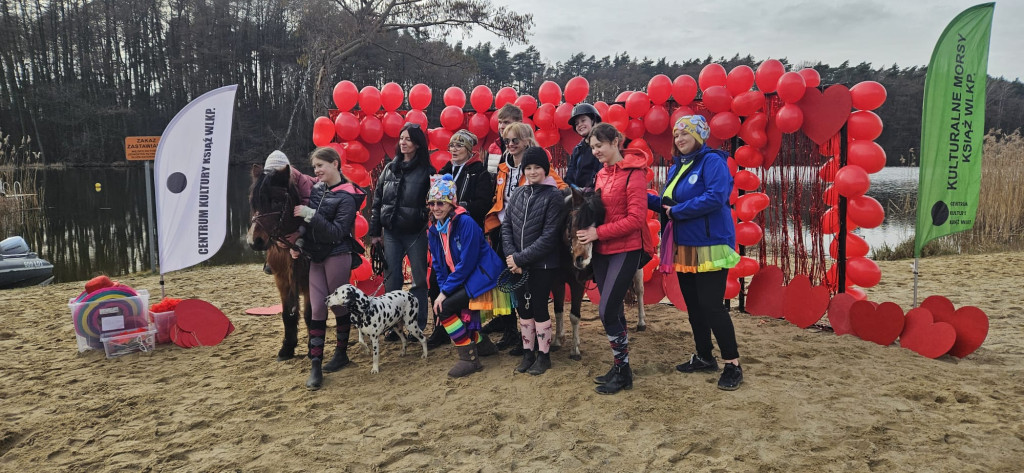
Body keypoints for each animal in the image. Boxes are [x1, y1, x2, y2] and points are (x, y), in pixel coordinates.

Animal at [246, 164, 313, 361]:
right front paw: (287, 348)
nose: (254, 241)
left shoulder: (309, 281)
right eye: (253, 202)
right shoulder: (282, 281)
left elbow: (310, 315)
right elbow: (287, 315)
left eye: (276, 201)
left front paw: (312, 346)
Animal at [552, 188, 647, 361]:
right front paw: (557, 340)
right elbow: (558, 311)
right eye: (574, 222)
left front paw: (575, 349)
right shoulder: (556, 282)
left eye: (597, 227)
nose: (582, 260)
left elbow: (574, 316)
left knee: (639, 291)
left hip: (637, 269)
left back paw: (641, 323)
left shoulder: (577, 284)